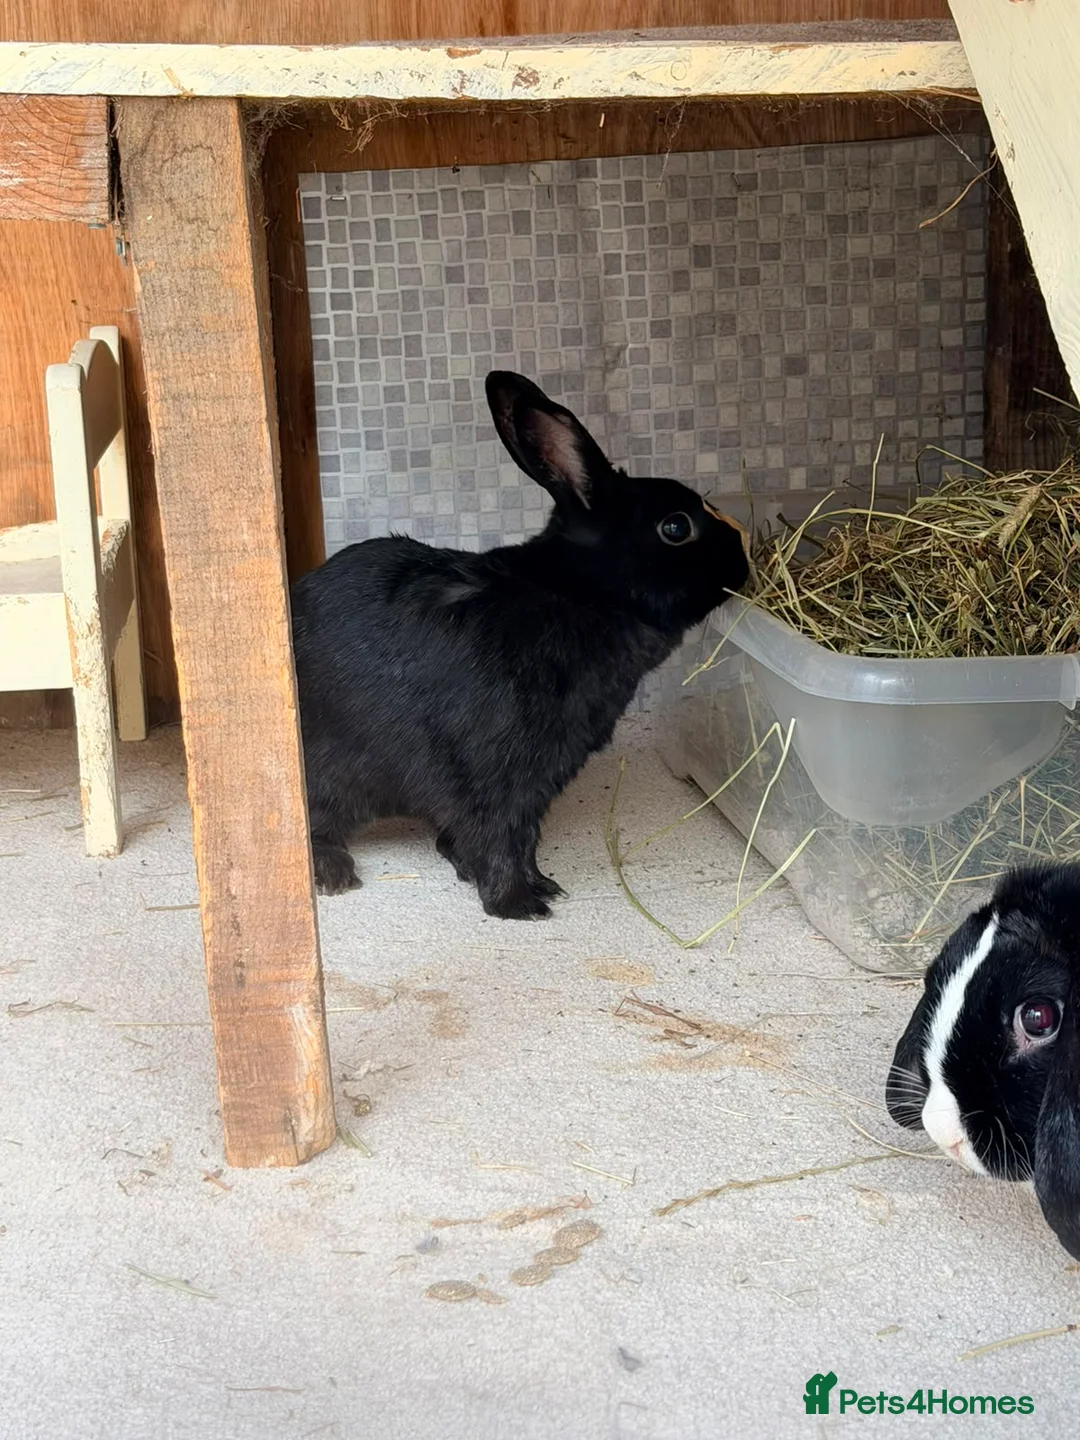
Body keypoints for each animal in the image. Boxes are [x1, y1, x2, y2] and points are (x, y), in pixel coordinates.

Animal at [290, 370, 749, 920]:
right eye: (676, 527)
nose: (744, 562)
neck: (583, 594)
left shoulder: (536, 781)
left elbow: (516, 838)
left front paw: (533, 884)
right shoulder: (498, 775)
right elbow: (500, 837)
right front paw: (520, 904)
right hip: (328, 773)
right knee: (308, 825)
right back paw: (333, 873)